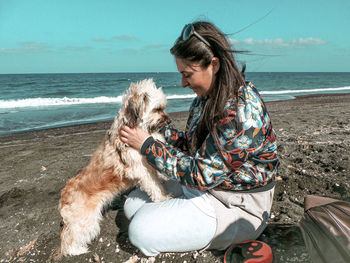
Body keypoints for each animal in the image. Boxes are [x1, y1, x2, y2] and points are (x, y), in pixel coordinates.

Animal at [58, 79, 170, 256]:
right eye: (158, 109)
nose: (169, 121)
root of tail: (64, 195)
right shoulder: (141, 170)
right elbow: (154, 186)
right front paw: (163, 198)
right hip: (85, 221)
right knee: (69, 239)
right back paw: (77, 250)